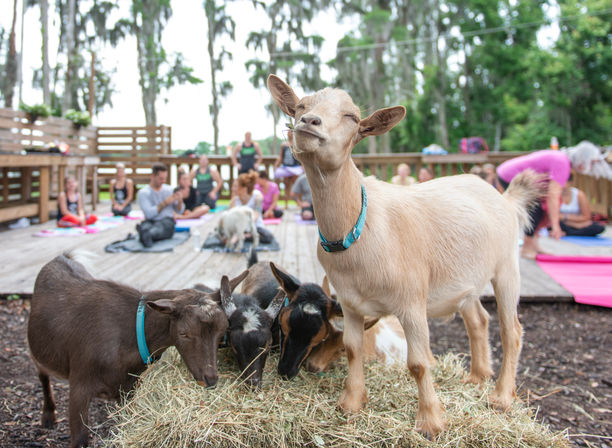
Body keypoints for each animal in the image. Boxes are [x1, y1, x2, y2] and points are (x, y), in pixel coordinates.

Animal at [26, 254, 246, 448]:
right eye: (184, 333)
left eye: (222, 332)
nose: (210, 379)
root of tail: (60, 258)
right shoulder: (80, 384)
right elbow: (80, 439)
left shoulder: (128, 388)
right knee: (42, 375)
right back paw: (48, 416)